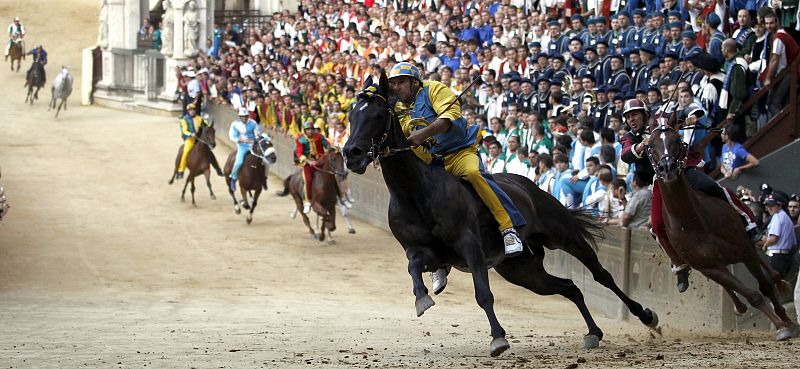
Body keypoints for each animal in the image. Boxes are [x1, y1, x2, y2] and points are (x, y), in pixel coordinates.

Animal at [648, 123, 796, 340]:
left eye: (677, 140)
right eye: (650, 145)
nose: (667, 168)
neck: (695, 221)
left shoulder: (744, 249)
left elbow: (764, 286)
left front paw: (787, 321)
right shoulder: (709, 266)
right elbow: (752, 295)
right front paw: (780, 325)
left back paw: (779, 281)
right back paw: (738, 306)